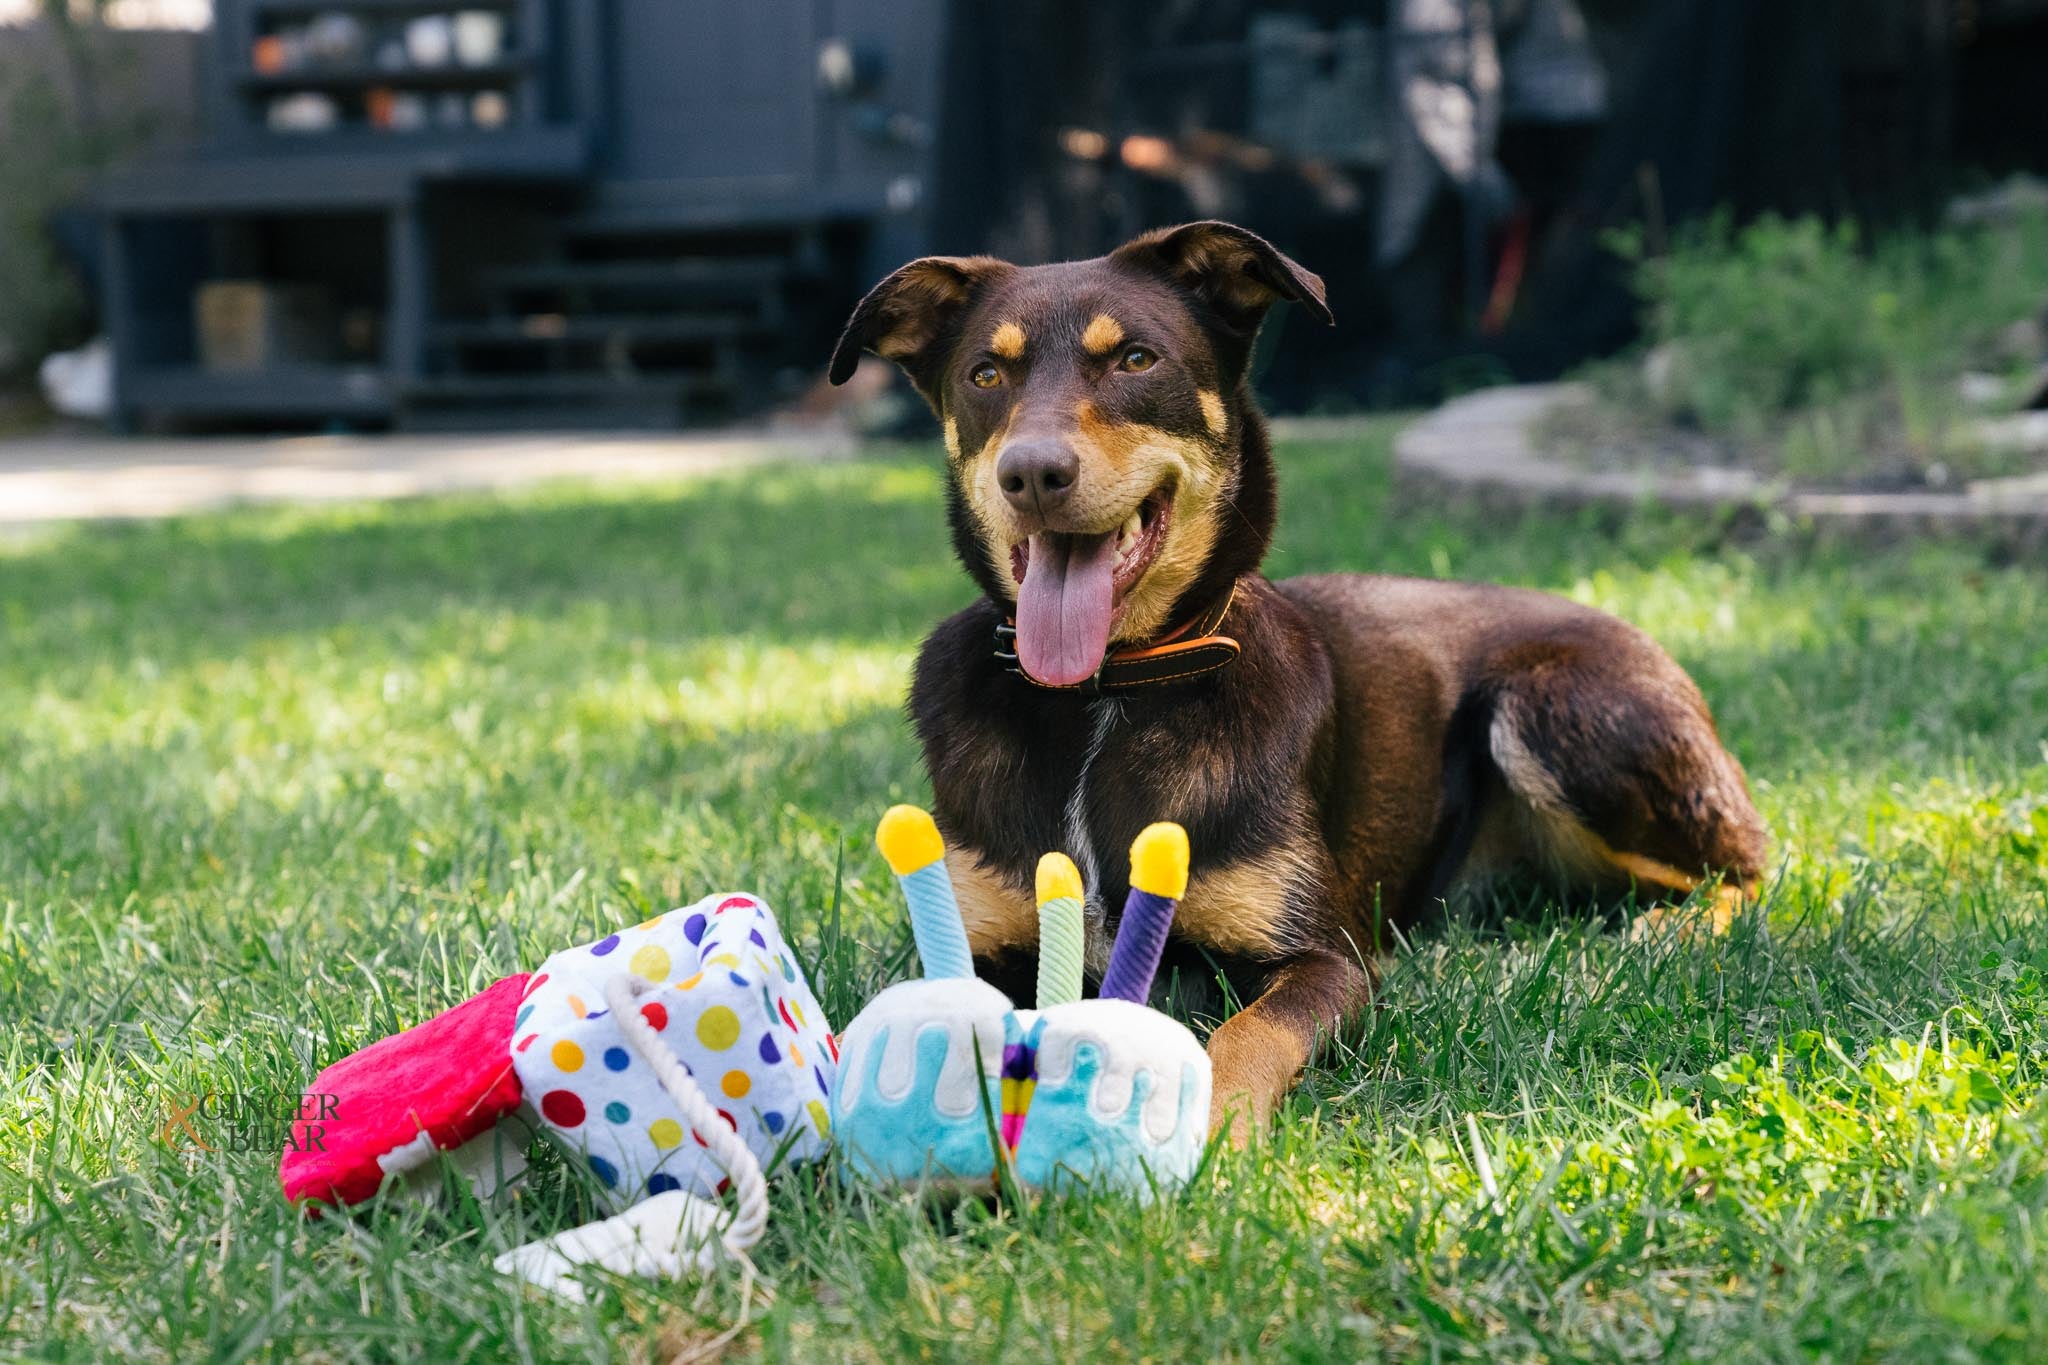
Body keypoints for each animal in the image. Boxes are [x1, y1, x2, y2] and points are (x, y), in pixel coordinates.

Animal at [823, 222, 1769, 1146]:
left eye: (1136, 359)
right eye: (985, 374)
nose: (1031, 473)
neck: (1107, 691)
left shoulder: (1325, 957)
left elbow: (1250, 1031)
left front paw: (1206, 1129)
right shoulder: (972, 944)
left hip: (1554, 708)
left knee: (1749, 869)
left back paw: (1660, 932)